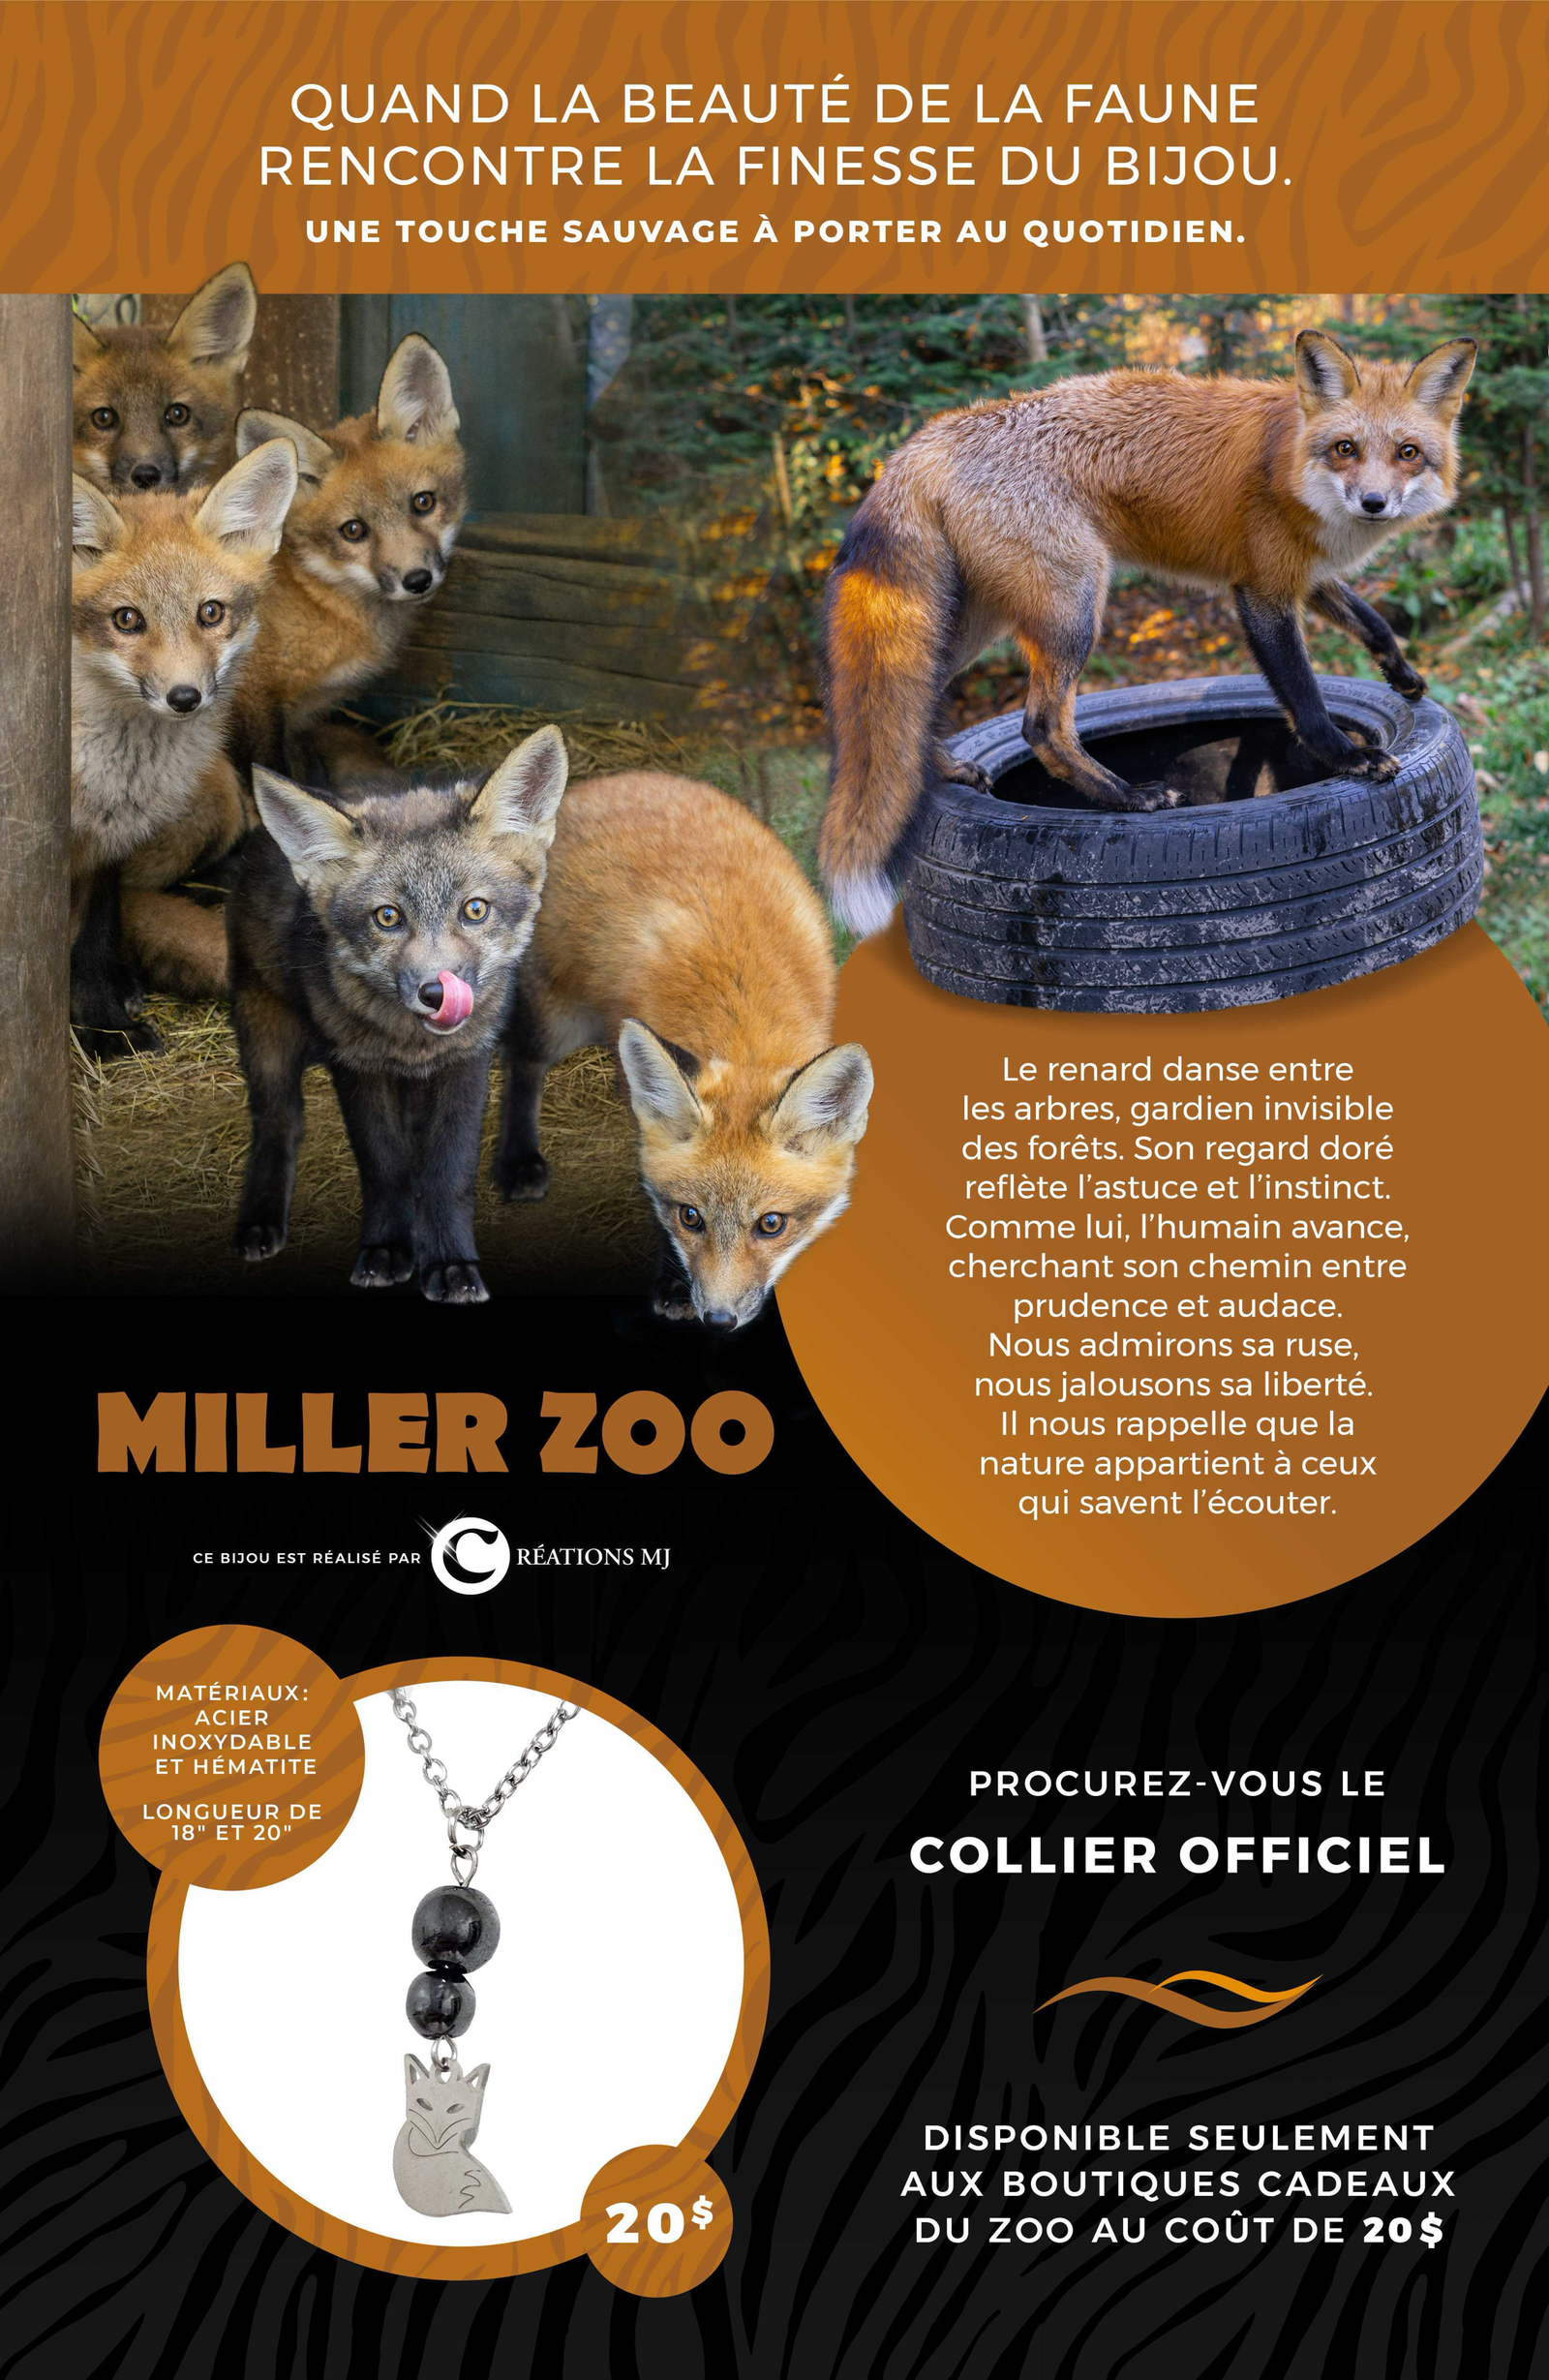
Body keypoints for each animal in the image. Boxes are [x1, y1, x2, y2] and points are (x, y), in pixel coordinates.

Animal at [69, 439, 299, 1057]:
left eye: (210, 612)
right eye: (127, 619)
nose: (184, 697)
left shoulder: (106, 843)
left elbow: (93, 938)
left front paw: (102, 1022)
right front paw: (99, 1029)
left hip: (218, 796)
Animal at [227, 726, 569, 1304]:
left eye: (474, 910)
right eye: (388, 917)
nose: (436, 993)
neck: (413, 1046)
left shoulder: (465, 1061)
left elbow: (447, 1173)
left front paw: (449, 1261)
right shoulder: (356, 1066)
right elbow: (384, 1167)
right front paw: (387, 1247)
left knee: (525, 1066)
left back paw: (518, 1162)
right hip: (265, 1029)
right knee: (279, 1119)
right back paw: (261, 1214)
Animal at [489, 770, 874, 1331]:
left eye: (771, 1225)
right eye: (691, 1217)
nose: (718, 1320)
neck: (743, 1025)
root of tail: (610, 780)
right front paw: (672, 1284)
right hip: (558, 1018)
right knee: (523, 1064)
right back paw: (519, 1160)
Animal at [818, 328, 1478, 936]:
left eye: (1408, 452)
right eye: (1346, 448)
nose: (1374, 502)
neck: (1292, 460)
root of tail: (932, 436)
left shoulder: (1303, 576)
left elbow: (1374, 621)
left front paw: (1403, 676)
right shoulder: (1260, 591)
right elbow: (1304, 697)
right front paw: (1347, 757)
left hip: (972, 623)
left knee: (908, 708)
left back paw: (946, 770)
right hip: (1075, 607)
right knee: (1040, 727)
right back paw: (1128, 797)